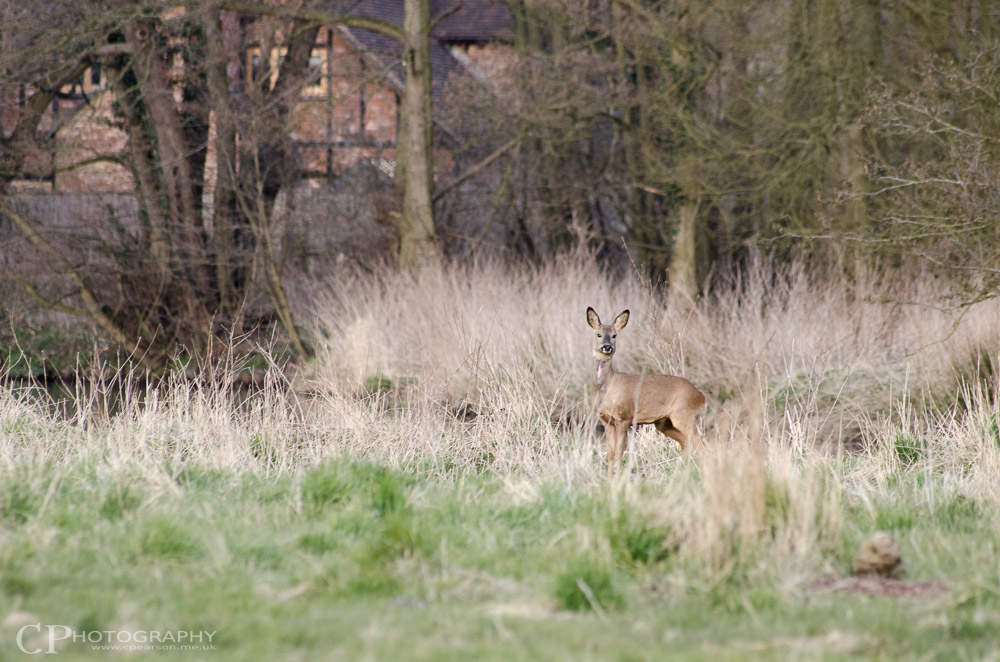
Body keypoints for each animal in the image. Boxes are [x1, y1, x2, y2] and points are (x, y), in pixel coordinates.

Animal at [588, 308, 708, 474]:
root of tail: (702, 397)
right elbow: (610, 452)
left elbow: (619, 451)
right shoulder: (606, 420)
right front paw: (609, 476)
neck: (607, 386)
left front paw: (619, 476)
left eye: (614, 335)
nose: (607, 346)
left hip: (685, 415)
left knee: (701, 446)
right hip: (664, 422)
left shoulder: (623, 417)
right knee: (686, 443)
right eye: (598, 334)